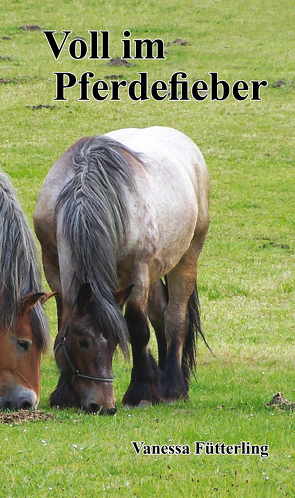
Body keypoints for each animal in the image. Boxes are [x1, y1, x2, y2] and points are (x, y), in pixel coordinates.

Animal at [34, 126, 210, 414]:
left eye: (115, 342)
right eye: (82, 341)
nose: (103, 405)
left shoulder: (137, 271)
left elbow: (138, 328)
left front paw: (141, 392)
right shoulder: (53, 266)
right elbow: (63, 322)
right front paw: (64, 394)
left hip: (185, 258)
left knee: (175, 318)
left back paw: (172, 386)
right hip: (151, 271)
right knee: (160, 315)